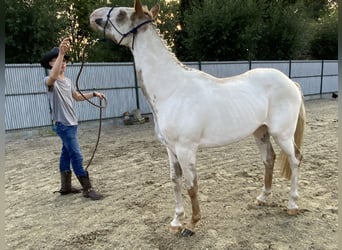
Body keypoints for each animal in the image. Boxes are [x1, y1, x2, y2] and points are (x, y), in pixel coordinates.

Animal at [89, 0, 306, 236]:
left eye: (120, 13)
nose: (93, 15)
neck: (172, 89)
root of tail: (291, 82)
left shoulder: (186, 149)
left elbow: (192, 185)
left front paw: (192, 224)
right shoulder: (170, 148)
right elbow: (175, 181)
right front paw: (176, 221)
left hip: (282, 134)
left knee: (295, 159)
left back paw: (292, 204)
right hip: (261, 132)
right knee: (269, 159)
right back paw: (262, 198)